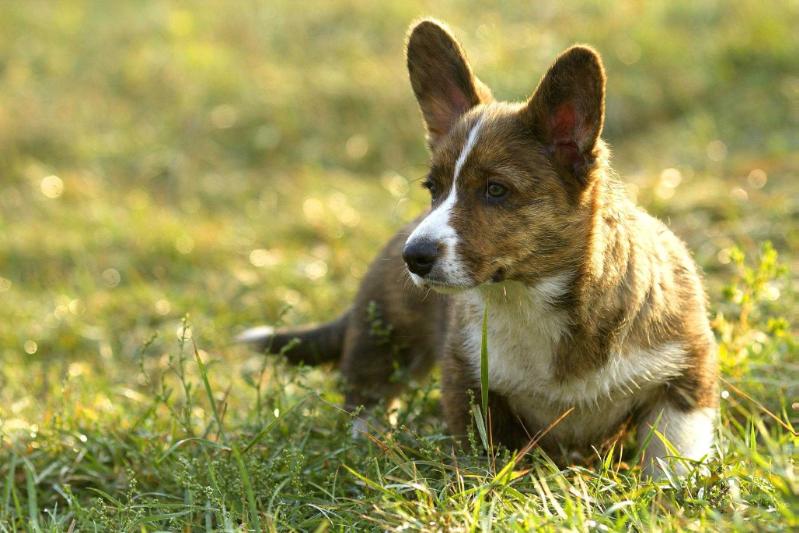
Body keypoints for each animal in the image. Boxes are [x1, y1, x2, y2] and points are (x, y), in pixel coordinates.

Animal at [239, 19, 720, 474]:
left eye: (495, 190)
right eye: (432, 188)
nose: (413, 258)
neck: (529, 299)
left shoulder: (685, 376)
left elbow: (673, 458)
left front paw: (676, 493)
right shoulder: (471, 383)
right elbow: (486, 457)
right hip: (382, 338)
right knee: (367, 398)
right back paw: (373, 446)